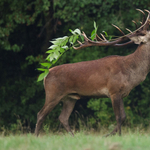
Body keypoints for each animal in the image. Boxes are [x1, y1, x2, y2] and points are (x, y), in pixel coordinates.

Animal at [34, 8, 150, 137]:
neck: (130, 72)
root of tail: (46, 75)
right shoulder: (113, 91)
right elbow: (119, 117)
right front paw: (115, 136)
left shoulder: (122, 94)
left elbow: (124, 116)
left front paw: (111, 135)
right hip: (53, 93)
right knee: (41, 114)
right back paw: (36, 136)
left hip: (70, 97)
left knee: (63, 117)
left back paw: (73, 137)